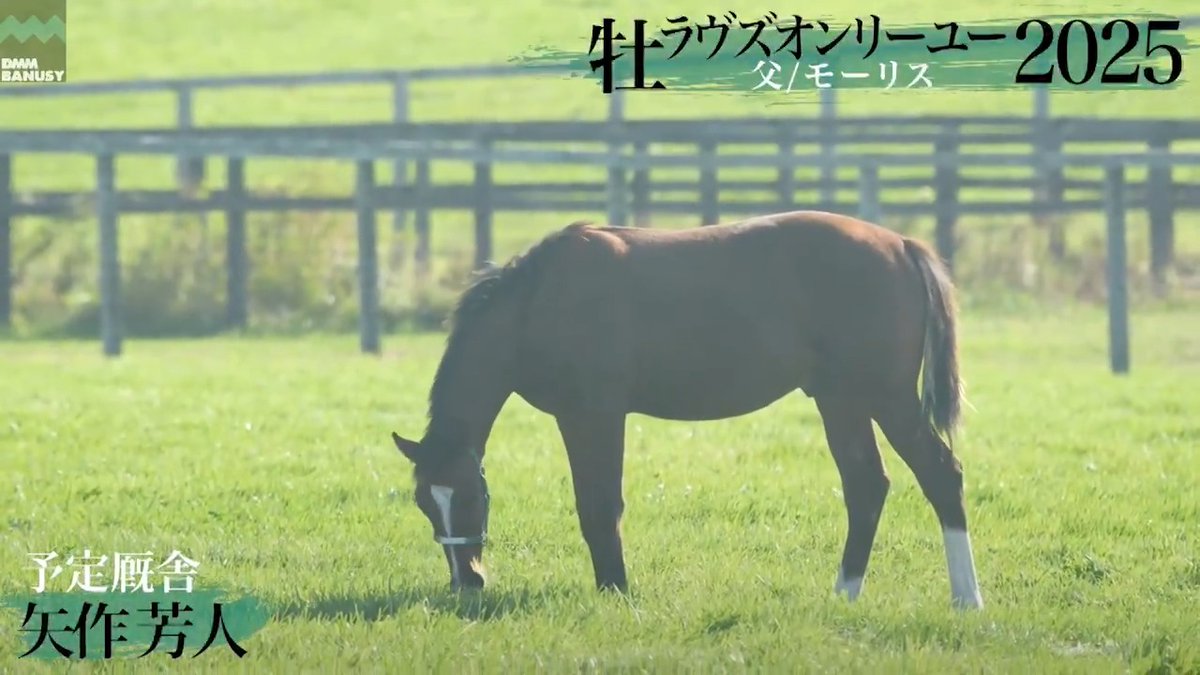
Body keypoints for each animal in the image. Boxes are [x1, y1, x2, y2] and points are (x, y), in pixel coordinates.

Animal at [390, 209, 984, 610]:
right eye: (424, 503)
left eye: (471, 497)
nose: (467, 582)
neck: (538, 303)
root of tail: (901, 244)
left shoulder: (593, 415)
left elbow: (598, 505)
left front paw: (615, 590)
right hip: (840, 401)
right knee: (866, 486)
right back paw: (844, 592)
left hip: (885, 397)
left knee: (941, 475)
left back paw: (966, 599)